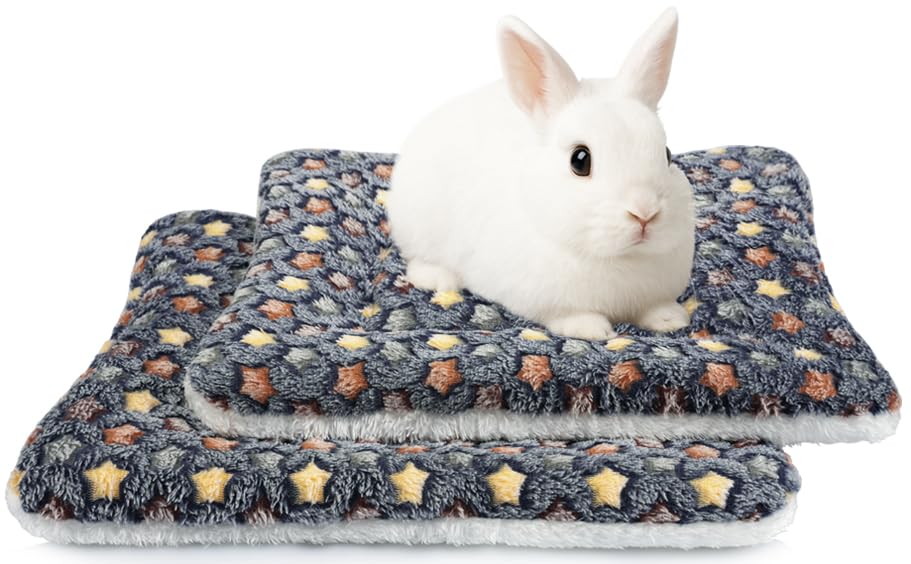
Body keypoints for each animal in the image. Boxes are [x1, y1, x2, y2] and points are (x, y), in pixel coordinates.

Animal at [386, 8, 695, 340]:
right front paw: (592, 330)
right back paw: (439, 279)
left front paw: (671, 320)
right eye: (580, 160)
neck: (620, 258)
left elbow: (655, 309)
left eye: (667, 154)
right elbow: (570, 316)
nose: (644, 213)